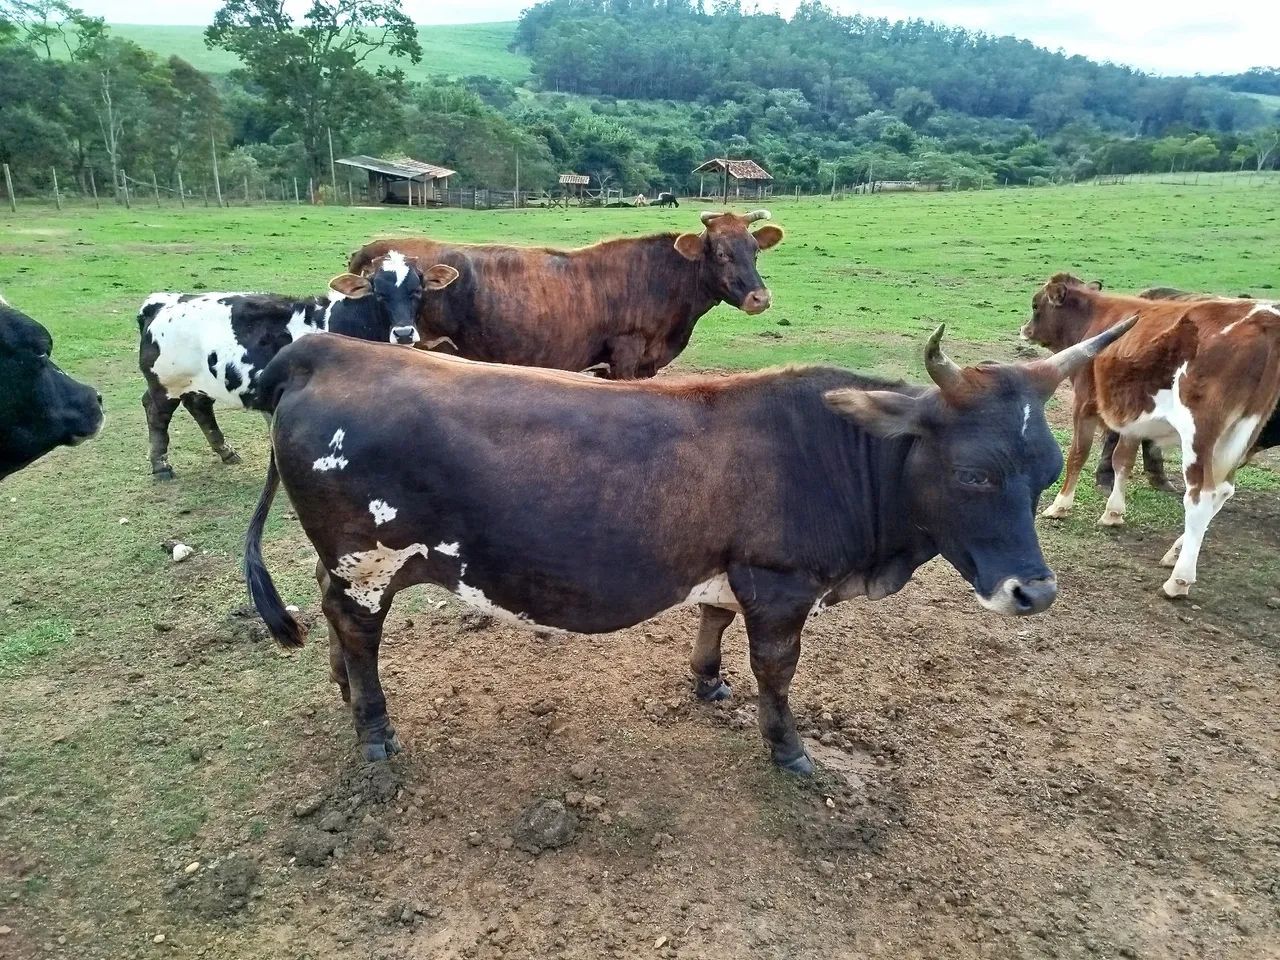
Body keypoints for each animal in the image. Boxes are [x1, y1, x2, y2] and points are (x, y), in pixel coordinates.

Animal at [138, 254, 459, 479]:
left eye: (417, 290)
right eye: (379, 292)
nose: (404, 333)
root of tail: (161, 302)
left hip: (196, 382)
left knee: (199, 407)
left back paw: (225, 452)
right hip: (164, 383)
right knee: (156, 413)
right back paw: (161, 466)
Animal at [243, 318, 1132, 773]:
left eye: (1047, 470)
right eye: (976, 474)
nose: (1035, 591)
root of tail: (323, 349)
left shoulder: (732, 569)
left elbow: (713, 620)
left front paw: (706, 681)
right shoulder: (781, 581)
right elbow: (777, 670)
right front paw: (789, 749)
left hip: (352, 562)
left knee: (331, 613)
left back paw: (344, 693)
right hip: (367, 558)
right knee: (357, 629)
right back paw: (374, 733)